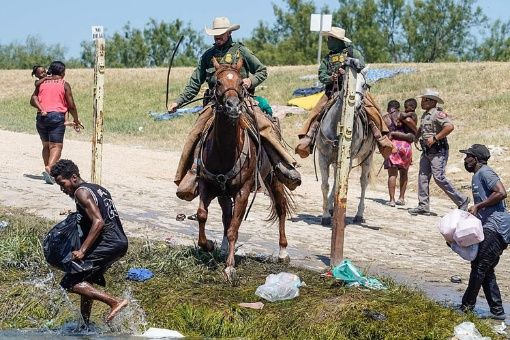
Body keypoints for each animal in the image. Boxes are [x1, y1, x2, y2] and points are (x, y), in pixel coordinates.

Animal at [194, 57, 290, 282]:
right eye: (218, 82)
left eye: (240, 82)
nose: (233, 107)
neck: (224, 151)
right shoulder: (206, 184)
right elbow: (203, 215)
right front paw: (208, 245)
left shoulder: (243, 190)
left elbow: (234, 229)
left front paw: (230, 267)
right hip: (223, 193)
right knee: (226, 216)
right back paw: (221, 247)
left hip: (273, 178)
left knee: (281, 207)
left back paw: (283, 251)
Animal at [316, 68, 376, 226]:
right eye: (346, 83)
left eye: (364, 85)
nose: (356, 105)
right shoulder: (323, 157)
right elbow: (325, 186)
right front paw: (325, 215)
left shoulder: (347, 159)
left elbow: (339, 184)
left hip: (367, 157)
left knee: (363, 182)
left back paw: (359, 214)